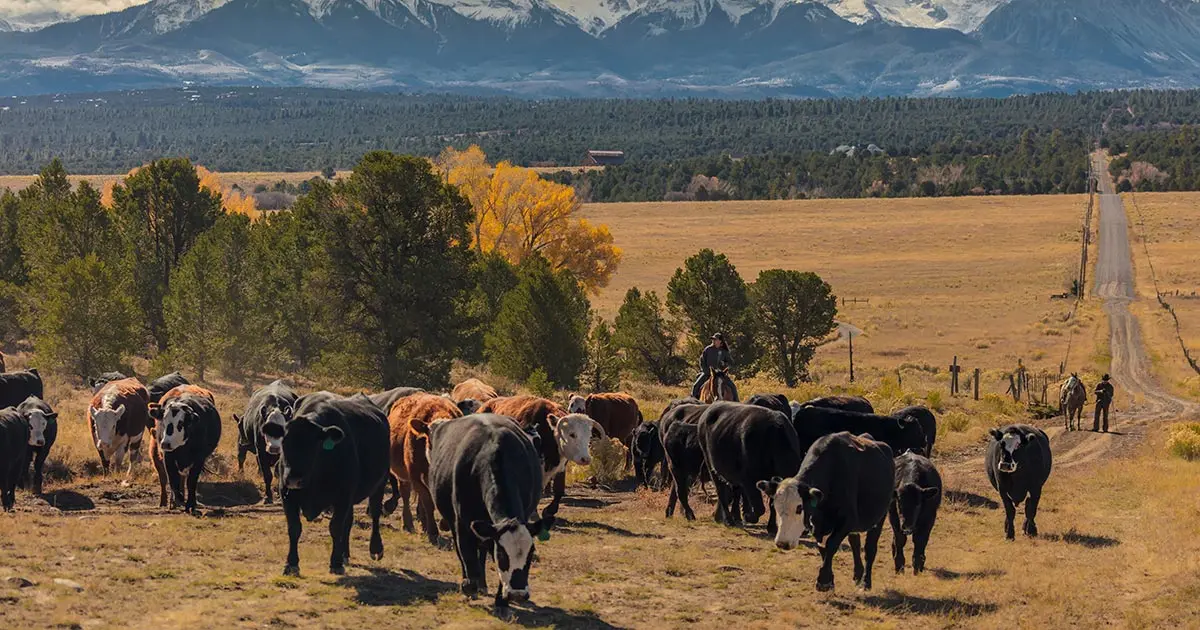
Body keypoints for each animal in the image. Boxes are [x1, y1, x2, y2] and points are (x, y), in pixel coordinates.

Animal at [270, 392, 390, 576]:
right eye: (284, 442)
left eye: (313, 445)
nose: (293, 479)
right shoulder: (286, 494)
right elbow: (294, 528)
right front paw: (291, 564)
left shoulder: (343, 496)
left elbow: (335, 527)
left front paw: (335, 563)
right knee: (349, 522)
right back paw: (345, 554)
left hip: (380, 483)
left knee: (375, 513)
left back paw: (375, 548)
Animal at [386, 393, 462, 545]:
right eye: (432, 441)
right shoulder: (415, 475)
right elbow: (428, 501)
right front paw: (433, 531)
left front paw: (443, 524)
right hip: (405, 476)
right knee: (405, 494)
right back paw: (408, 524)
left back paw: (423, 524)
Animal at [428, 414, 551, 617]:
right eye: (502, 554)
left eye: (531, 552)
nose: (518, 594)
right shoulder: (462, 523)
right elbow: (467, 555)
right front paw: (469, 585)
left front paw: (501, 600)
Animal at [698, 402, 803, 532]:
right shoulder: (748, 479)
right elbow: (759, 507)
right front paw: (749, 517)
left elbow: (771, 504)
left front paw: (772, 527)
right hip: (711, 464)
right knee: (721, 491)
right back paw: (729, 520)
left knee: (734, 491)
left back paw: (731, 517)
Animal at [759, 432, 895, 592]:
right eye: (776, 506)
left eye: (799, 507)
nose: (782, 543)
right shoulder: (817, 524)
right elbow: (823, 548)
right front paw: (829, 580)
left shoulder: (847, 520)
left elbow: (831, 545)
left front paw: (823, 581)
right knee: (855, 543)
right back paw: (857, 574)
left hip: (879, 517)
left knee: (870, 549)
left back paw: (866, 582)